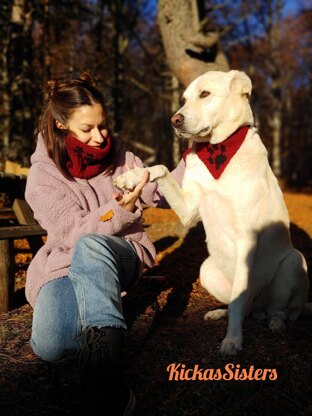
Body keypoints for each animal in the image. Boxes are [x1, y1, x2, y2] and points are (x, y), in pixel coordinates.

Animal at [114, 70, 310, 354]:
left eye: (205, 94)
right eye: (184, 99)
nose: (175, 120)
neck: (218, 151)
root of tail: (260, 306)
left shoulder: (247, 239)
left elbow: (239, 300)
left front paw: (233, 340)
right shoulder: (188, 209)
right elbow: (160, 168)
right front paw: (130, 178)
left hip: (294, 262)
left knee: (278, 309)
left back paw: (276, 322)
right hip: (206, 269)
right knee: (244, 306)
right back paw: (221, 313)